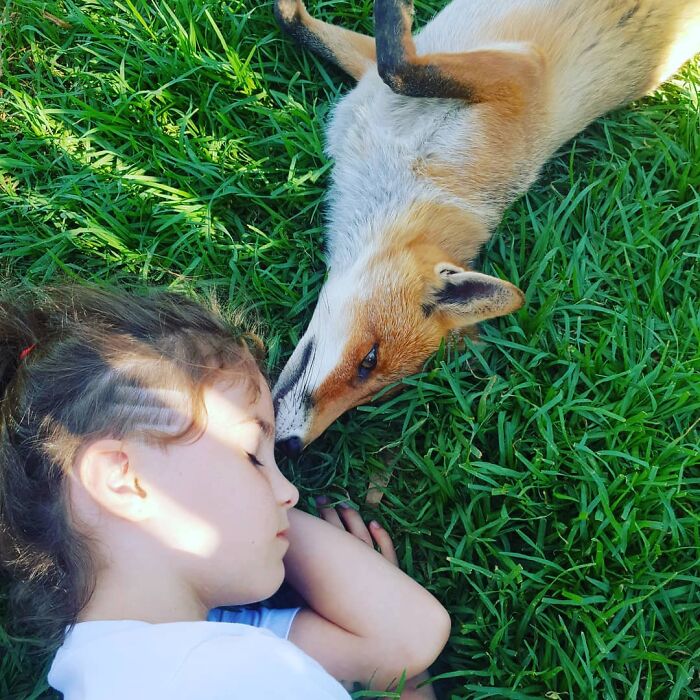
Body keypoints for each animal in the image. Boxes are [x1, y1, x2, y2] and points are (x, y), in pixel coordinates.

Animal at [272, 0, 700, 454]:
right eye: (370, 360)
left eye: (374, 390)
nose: (290, 448)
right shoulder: (409, 71)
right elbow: (311, 30)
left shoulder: (520, 71)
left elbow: (400, 68)